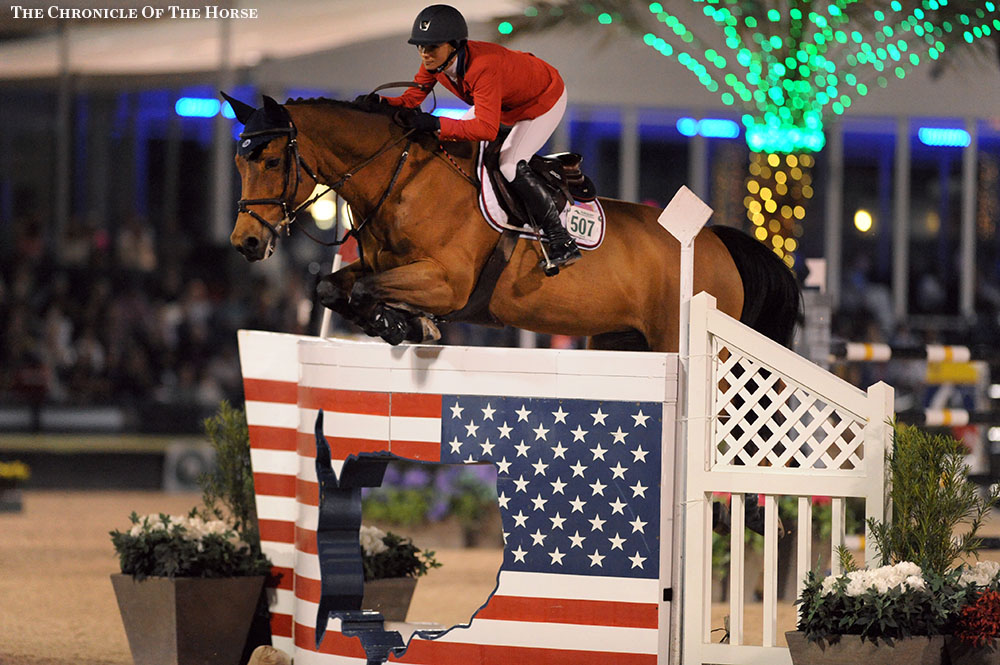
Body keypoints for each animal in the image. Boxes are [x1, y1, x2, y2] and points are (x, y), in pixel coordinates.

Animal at [225, 94, 796, 352]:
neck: (401, 176)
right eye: (238, 162)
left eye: (270, 161)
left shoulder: (447, 282)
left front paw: (403, 323)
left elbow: (367, 289)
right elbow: (331, 287)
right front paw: (402, 323)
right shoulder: (381, 266)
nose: (245, 242)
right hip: (621, 340)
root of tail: (716, 241)